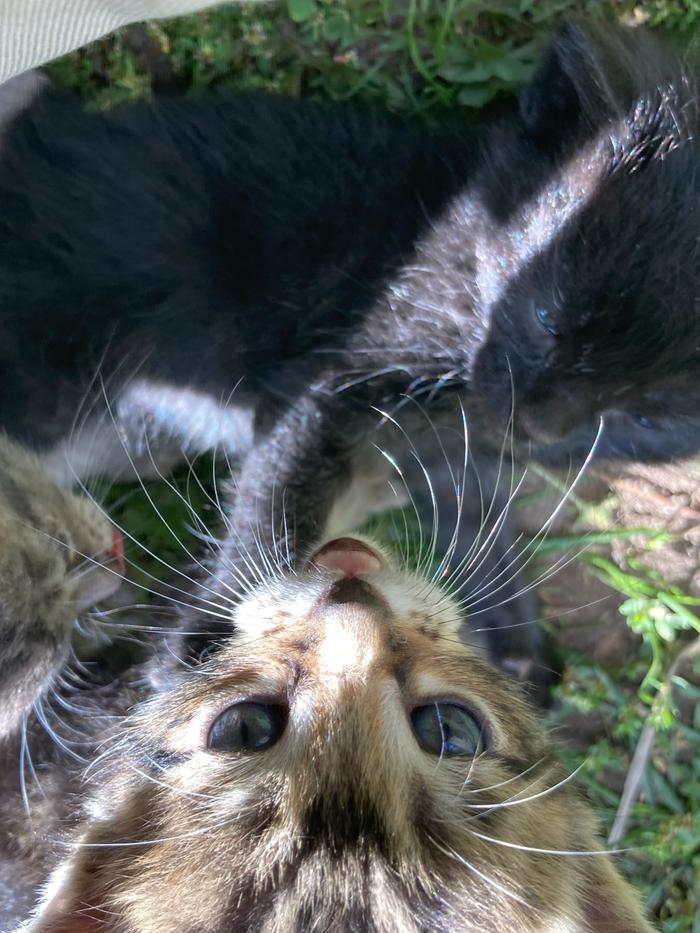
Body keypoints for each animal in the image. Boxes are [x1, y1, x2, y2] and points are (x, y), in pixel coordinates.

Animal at [0, 21, 692, 668]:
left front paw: (511, 647)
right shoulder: (337, 377)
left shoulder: (459, 460)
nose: (530, 425)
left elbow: (477, 526)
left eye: (645, 415)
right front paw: (226, 632)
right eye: (546, 317)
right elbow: (284, 486)